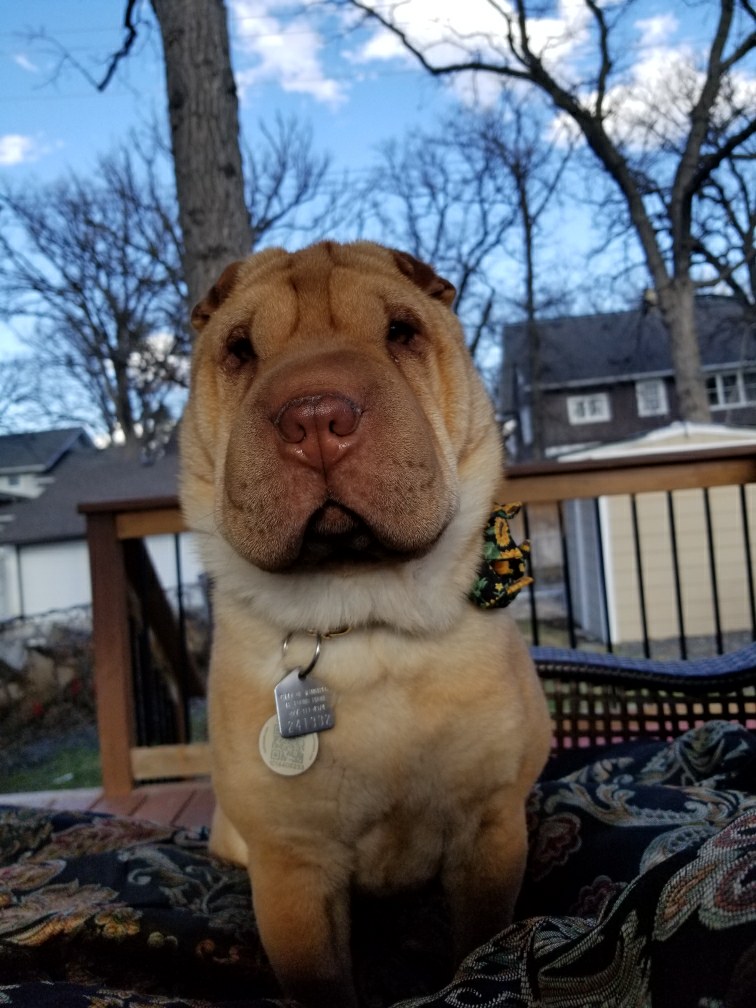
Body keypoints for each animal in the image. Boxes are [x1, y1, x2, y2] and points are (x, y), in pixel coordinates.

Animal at [179, 240, 552, 1007]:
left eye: (402, 332)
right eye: (240, 349)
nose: (316, 416)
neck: (365, 620)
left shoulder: (490, 827)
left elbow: (481, 942)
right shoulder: (293, 865)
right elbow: (321, 982)